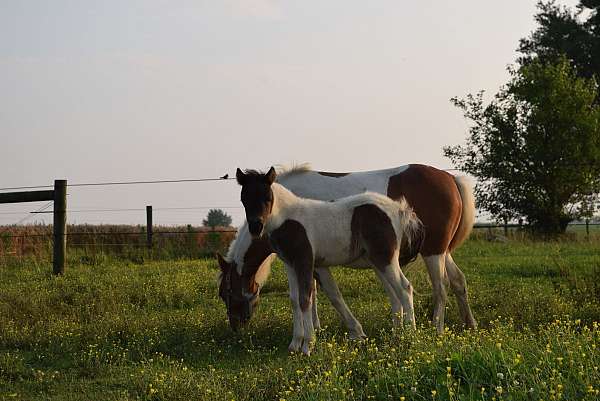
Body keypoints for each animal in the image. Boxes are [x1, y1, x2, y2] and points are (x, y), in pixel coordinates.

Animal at [218, 163, 476, 334]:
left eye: (226, 293)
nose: (235, 327)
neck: (285, 208)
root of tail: (450, 178)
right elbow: (310, 293)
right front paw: (315, 329)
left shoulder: (313, 262)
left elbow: (329, 294)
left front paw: (348, 330)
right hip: (441, 251)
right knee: (458, 281)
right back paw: (469, 324)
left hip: (433, 252)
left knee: (440, 289)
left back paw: (436, 329)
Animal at [232, 167, 424, 354]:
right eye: (244, 199)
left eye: (267, 197)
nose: (256, 227)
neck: (288, 218)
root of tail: (398, 209)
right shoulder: (290, 264)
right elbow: (294, 300)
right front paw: (294, 345)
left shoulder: (305, 261)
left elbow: (305, 299)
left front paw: (308, 346)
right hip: (380, 261)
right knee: (396, 293)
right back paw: (397, 335)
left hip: (386, 258)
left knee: (405, 288)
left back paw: (409, 336)